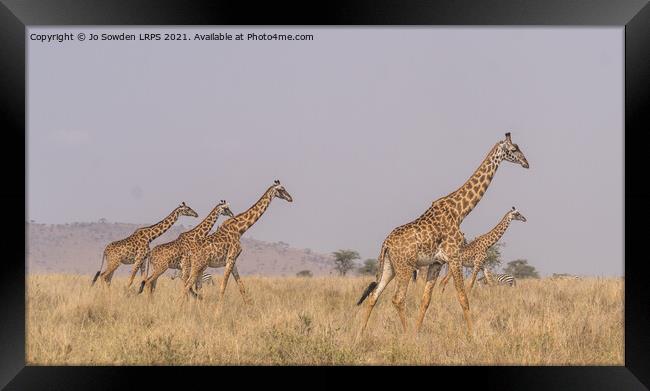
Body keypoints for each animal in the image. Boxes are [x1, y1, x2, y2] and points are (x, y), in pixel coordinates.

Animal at [354, 133, 528, 336]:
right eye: (514, 149)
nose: (526, 163)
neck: (460, 211)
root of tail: (386, 243)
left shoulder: (436, 263)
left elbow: (426, 300)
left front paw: (418, 333)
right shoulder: (454, 256)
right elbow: (463, 297)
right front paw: (473, 335)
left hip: (390, 266)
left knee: (374, 295)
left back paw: (360, 334)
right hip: (405, 267)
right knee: (397, 298)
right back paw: (405, 334)